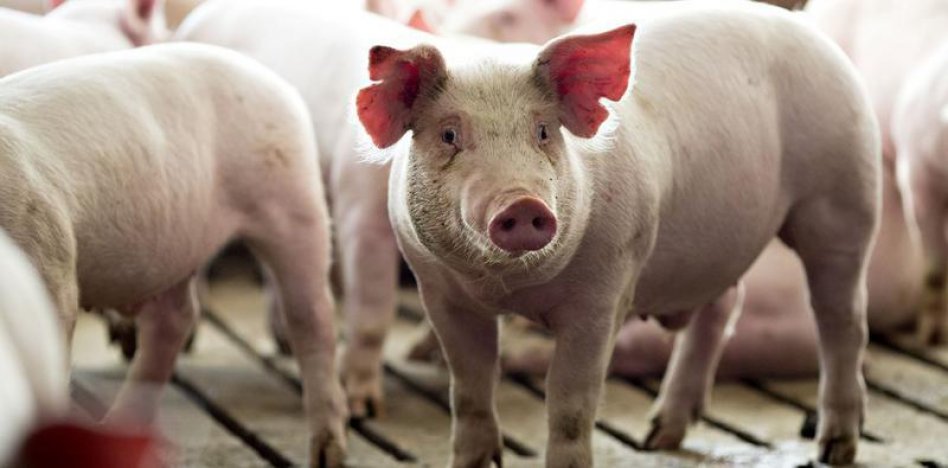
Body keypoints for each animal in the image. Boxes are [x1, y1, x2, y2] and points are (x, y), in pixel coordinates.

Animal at [0, 43, 345, 465]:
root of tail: (274, 81)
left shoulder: (48, 252)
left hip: (292, 198)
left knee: (313, 318)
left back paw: (328, 452)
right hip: (175, 245)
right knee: (175, 319)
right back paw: (119, 427)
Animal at [356, 2, 880, 465]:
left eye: (544, 132)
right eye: (449, 135)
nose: (522, 204)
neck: (510, 288)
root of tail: (808, 32)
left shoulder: (603, 293)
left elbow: (570, 402)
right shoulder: (441, 294)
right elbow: (468, 391)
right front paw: (469, 459)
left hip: (843, 198)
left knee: (843, 320)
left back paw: (835, 449)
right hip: (718, 245)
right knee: (725, 304)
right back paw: (659, 437)